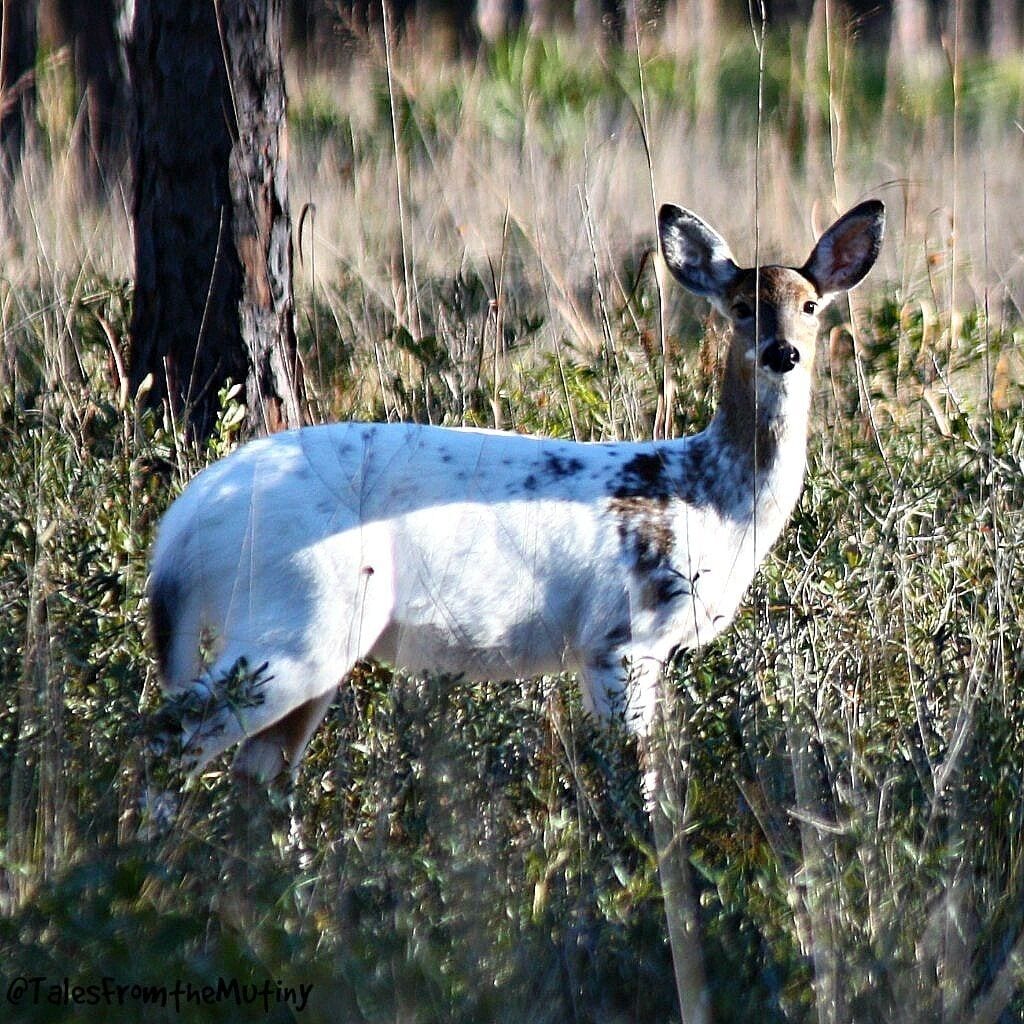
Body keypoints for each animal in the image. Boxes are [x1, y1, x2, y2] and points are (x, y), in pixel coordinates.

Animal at [145, 199, 884, 794]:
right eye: (740, 306)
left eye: (811, 306)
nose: (783, 352)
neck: (708, 498)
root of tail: (185, 523)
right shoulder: (621, 637)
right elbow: (638, 779)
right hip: (295, 616)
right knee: (167, 736)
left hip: (306, 637)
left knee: (255, 774)